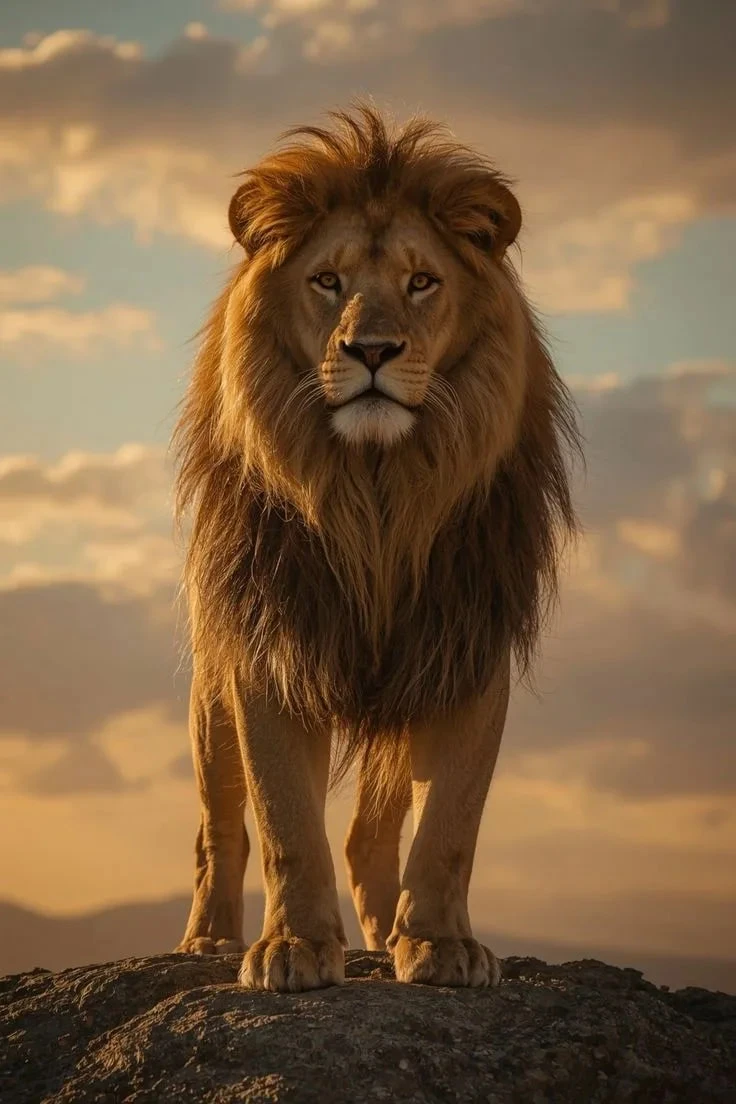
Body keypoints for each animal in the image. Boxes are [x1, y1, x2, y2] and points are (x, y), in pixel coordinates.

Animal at [173, 104, 581, 993]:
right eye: (328, 282)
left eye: (421, 282)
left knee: (368, 836)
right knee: (219, 829)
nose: (371, 352)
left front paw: (440, 943)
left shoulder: (464, 645)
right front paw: (292, 946)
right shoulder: (273, 642)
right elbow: (285, 821)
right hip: (212, 693)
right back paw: (210, 941)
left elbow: (451, 823)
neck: (375, 496)